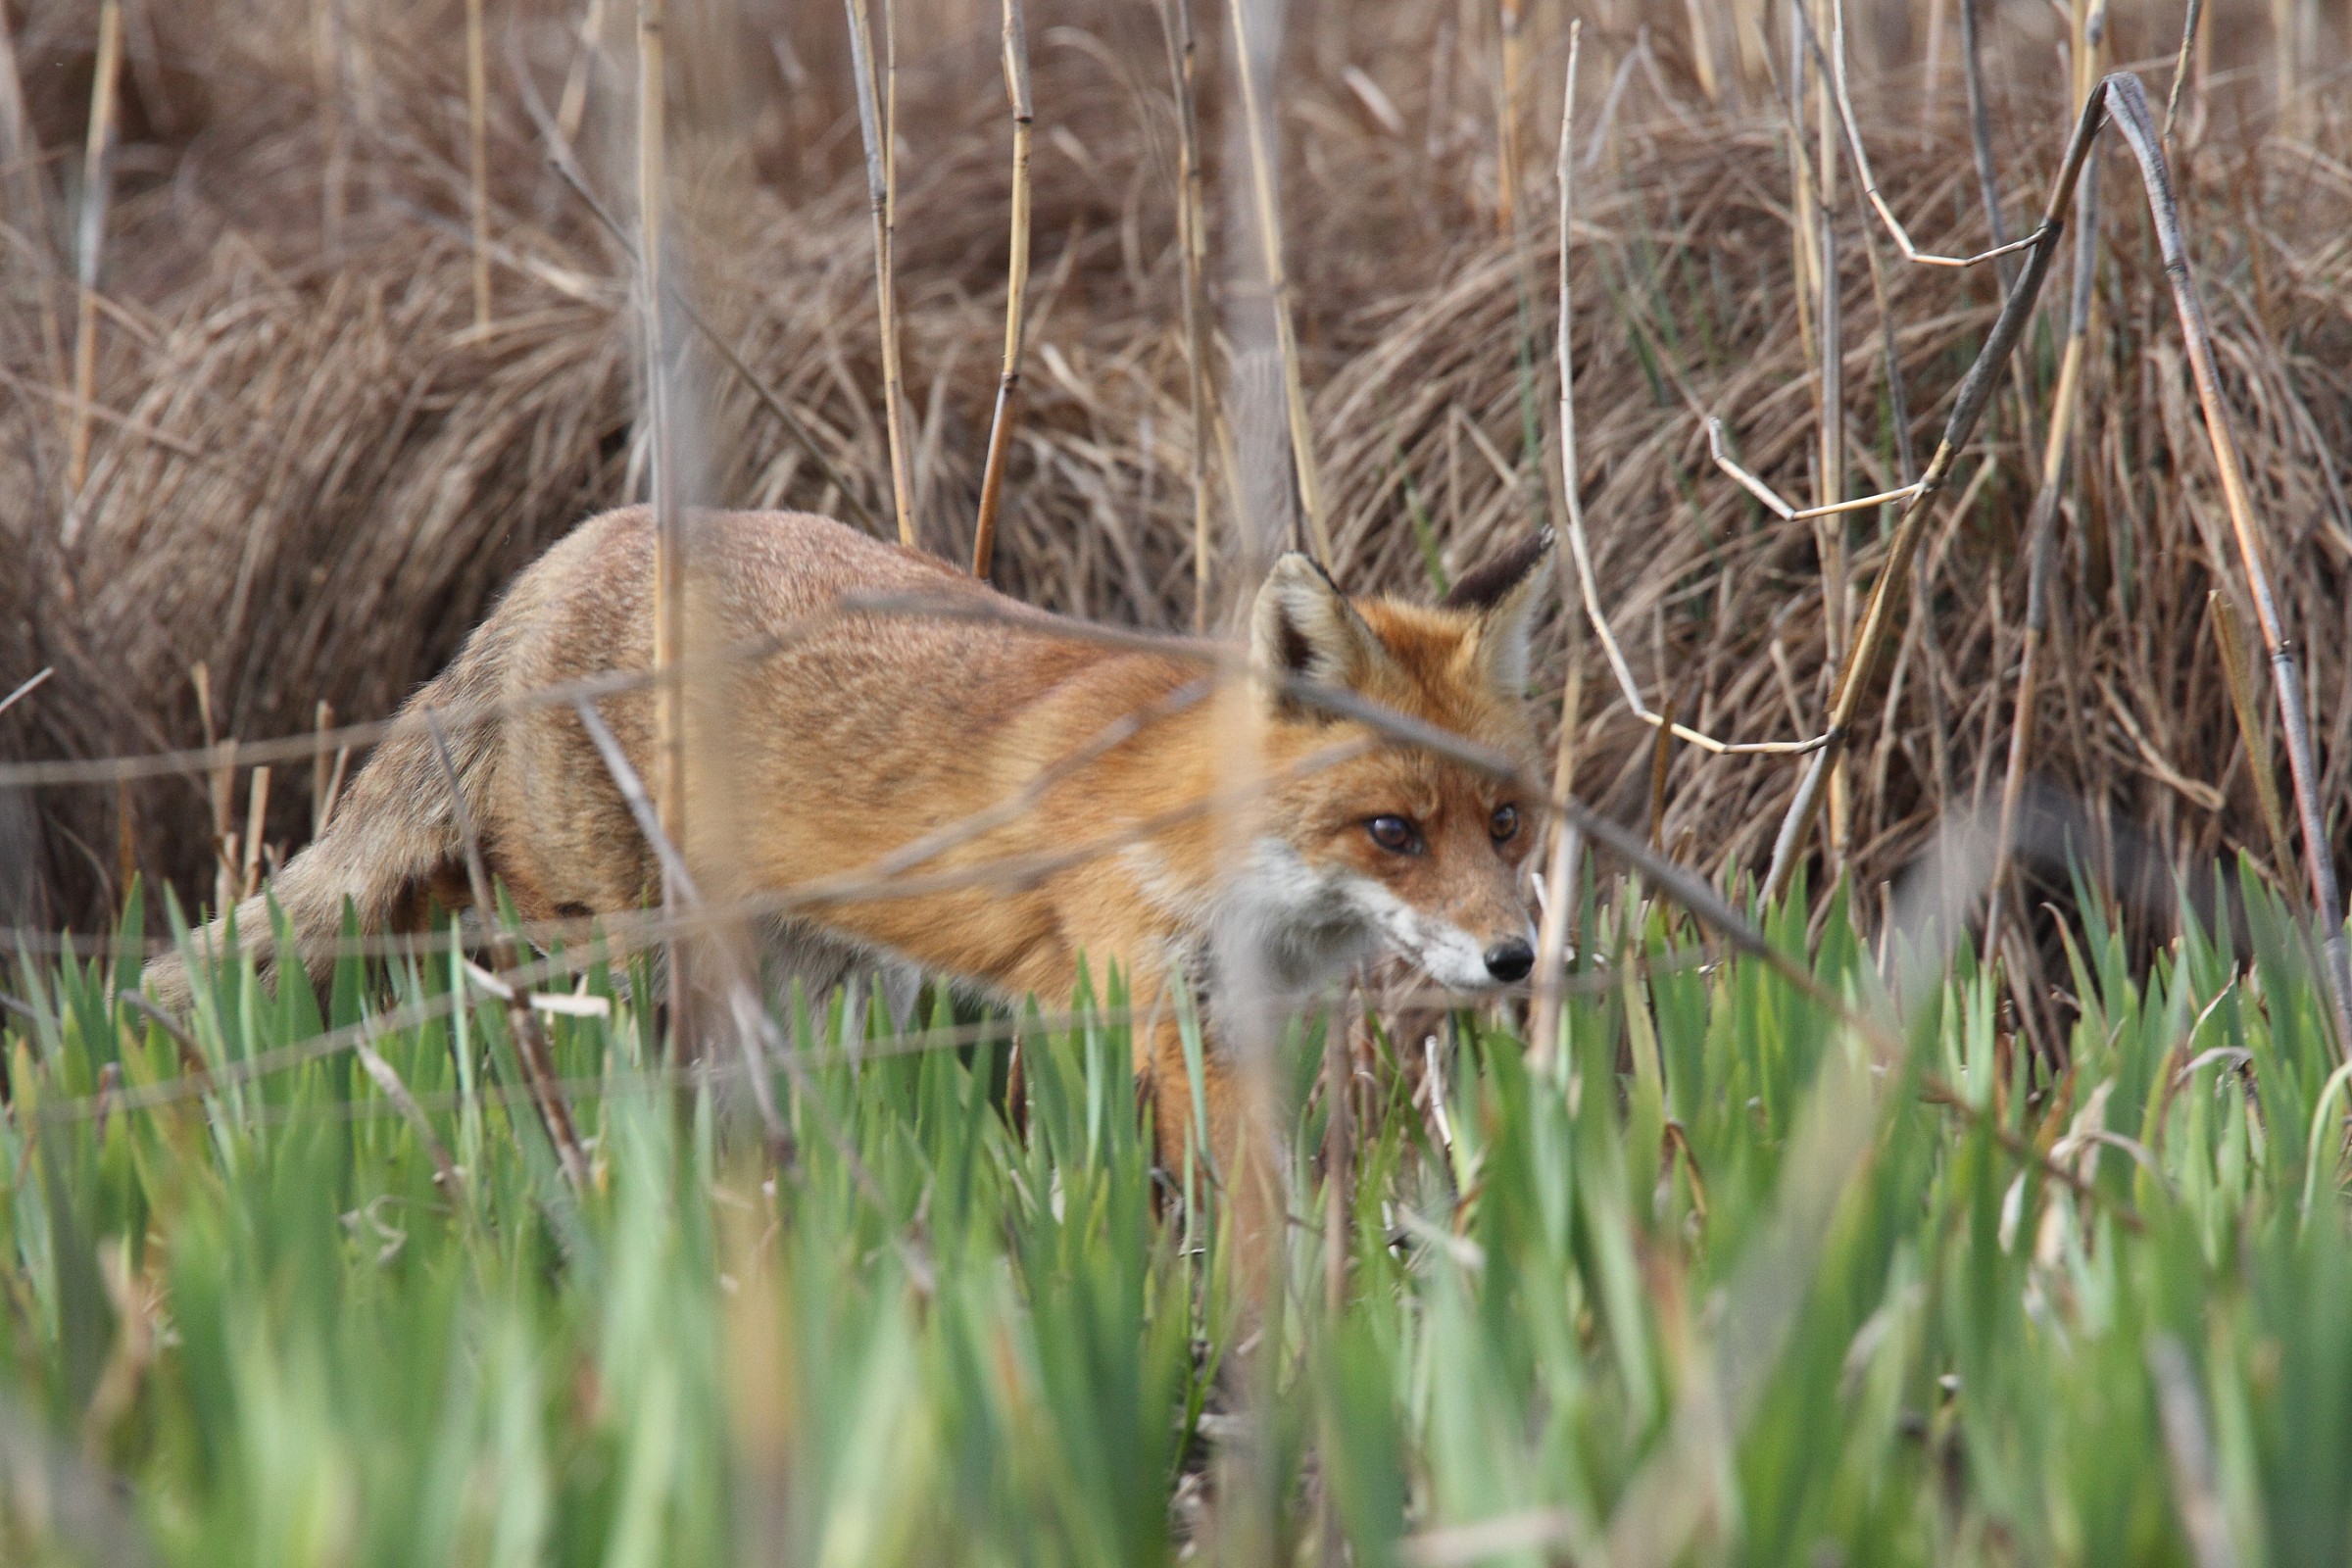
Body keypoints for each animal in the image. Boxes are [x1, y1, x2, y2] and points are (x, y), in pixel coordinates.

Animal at [143, 506, 1552, 1177]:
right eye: (1390, 831)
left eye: (1506, 824)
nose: (1517, 961)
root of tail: (561, 554)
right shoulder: (1131, 1010)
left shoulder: (1246, 1020)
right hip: (617, 946)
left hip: (807, 981)